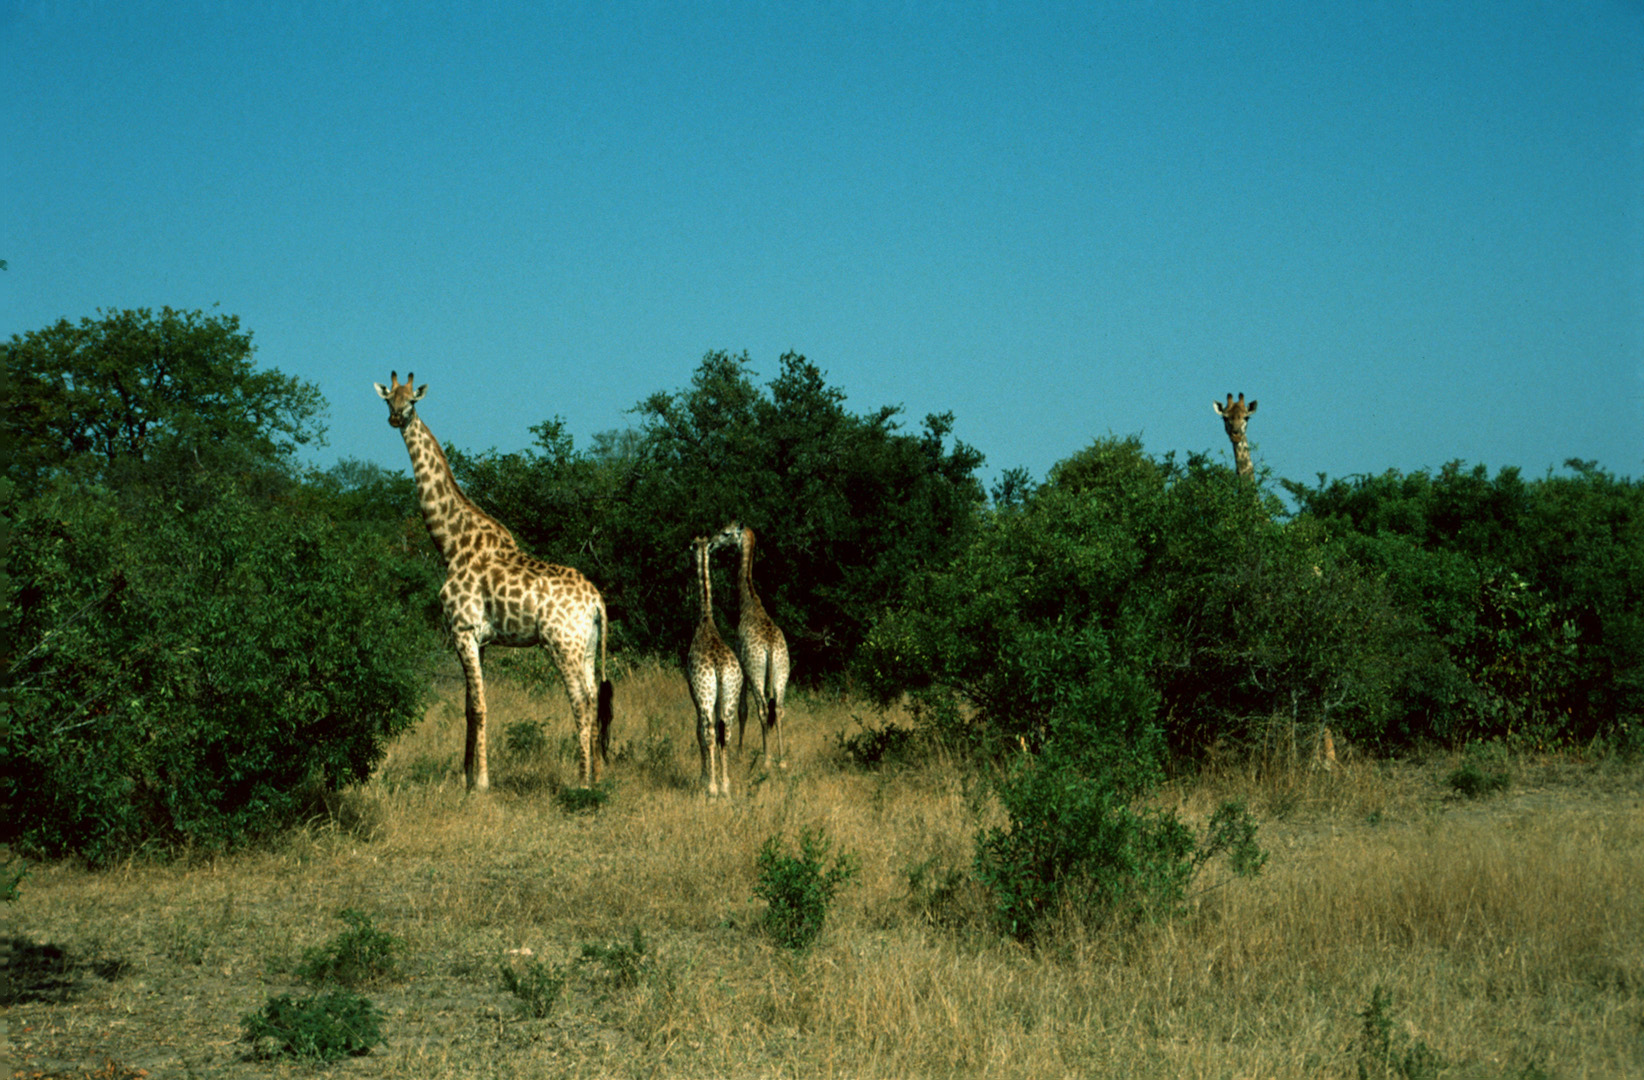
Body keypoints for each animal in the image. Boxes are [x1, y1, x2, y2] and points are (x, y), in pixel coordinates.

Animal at [376, 373, 614, 792]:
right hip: (586, 647)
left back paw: (582, 782)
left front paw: (482, 783)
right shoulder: (479, 638)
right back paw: (598, 777)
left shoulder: (462, 629)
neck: (451, 543)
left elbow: (480, 706)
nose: (396, 418)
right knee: (594, 699)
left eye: (412, 401)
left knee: (581, 702)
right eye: (389, 398)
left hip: (561, 644)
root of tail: (597, 601)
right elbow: (467, 706)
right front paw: (465, 775)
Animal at [706, 522, 789, 766]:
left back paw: (767, 759)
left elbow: (743, 710)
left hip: (755, 671)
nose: (711, 543)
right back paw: (782, 760)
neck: (748, 601)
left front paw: (741, 751)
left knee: (762, 709)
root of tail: (770, 648)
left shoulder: (742, 663)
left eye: (726, 533)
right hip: (782, 671)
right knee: (779, 708)